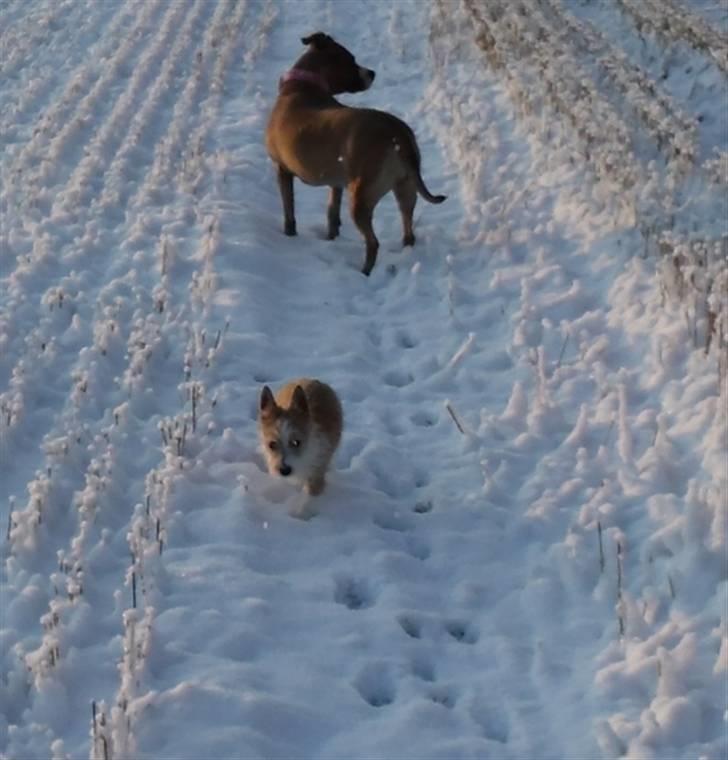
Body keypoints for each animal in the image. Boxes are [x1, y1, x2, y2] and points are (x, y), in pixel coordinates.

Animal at [262, 33, 444, 276]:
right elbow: (332, 211)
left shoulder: (282, 169)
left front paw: (290, 235)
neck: (303, 85)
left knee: (373, 242)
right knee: (407, 225)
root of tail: (397, 132)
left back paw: (364, 272)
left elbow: (289, 210)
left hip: (361, 195)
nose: (372, 73)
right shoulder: (336, 181)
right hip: (406, 187)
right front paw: (331, 237)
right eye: (351, 60)